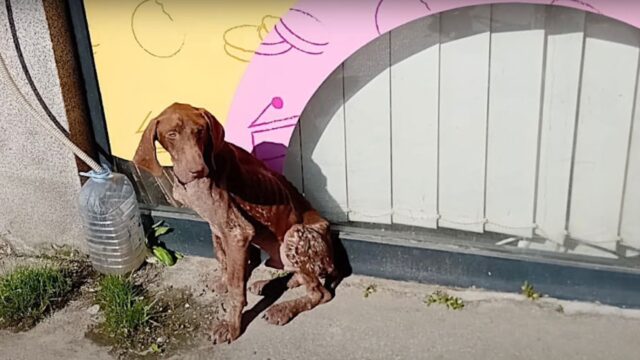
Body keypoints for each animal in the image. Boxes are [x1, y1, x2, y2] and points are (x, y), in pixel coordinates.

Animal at [132, 102, 338, 344]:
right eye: (172, 134)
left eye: (200, 131)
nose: (198, 170)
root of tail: (332, 260)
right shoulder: (215, 225)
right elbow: (222, 259)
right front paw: (223, 282)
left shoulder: (237, 233)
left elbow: (236, 287)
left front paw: (231, 326)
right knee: (299, 274)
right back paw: (273, 283)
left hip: (295, 234)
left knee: (320, 293)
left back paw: (283, 309)